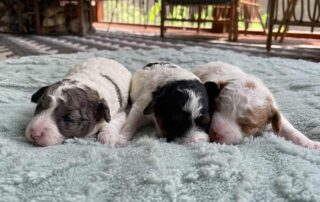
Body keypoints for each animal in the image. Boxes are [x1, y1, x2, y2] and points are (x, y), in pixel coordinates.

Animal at [192, 60, 320, 149]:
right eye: (216, 106)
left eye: (246, 125)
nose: (215, 134)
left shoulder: (274, 112)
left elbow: (288, 128)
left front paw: (311, 144)